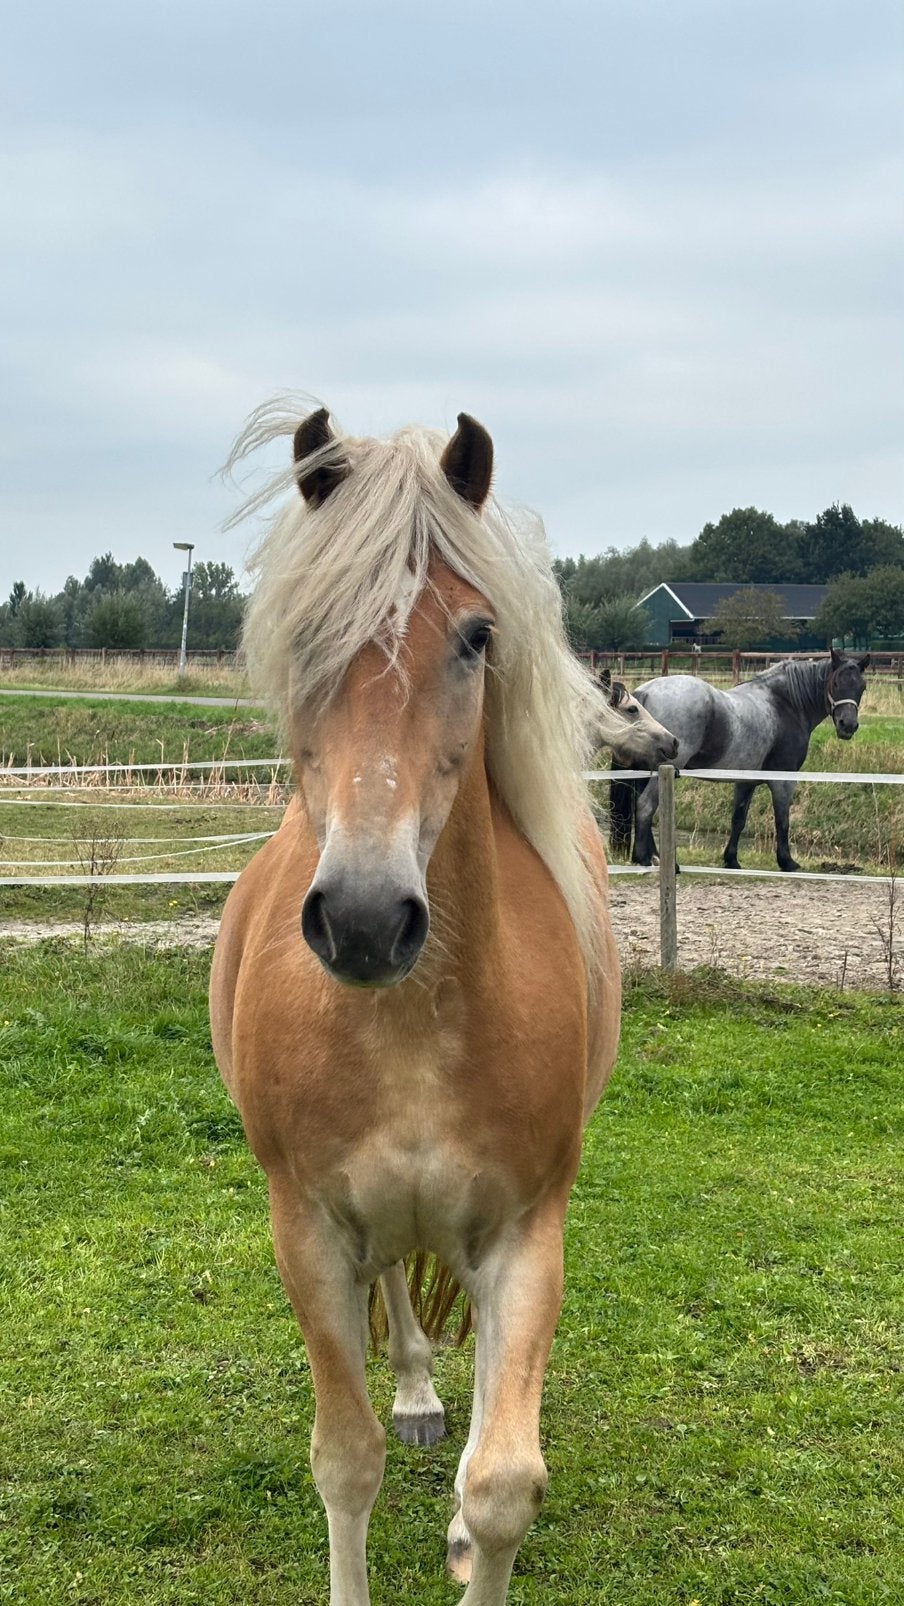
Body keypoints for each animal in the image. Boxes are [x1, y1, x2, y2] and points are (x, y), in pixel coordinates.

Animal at [209, 403, 624, 1605]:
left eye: (478, 637)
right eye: (304, 636)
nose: (360, 916)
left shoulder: (527, 1232)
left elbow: (504, 1485)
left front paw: (470, 1525)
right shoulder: (307, 1227)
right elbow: (345, 1459)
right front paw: (397, 1410)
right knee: (397, 1288)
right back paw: (416, 1390)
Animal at [609, 651, 870, 871]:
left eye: (862, 687)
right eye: (836, 683)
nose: (848, 725)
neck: (785, 704)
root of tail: (645, 692)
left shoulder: (746, 781)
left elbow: (738, 819)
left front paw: (731, 859)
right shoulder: (783, 780)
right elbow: (782, 820)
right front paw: (786, 861)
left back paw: (654, 856)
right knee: (645, 807)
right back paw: (647, 859)